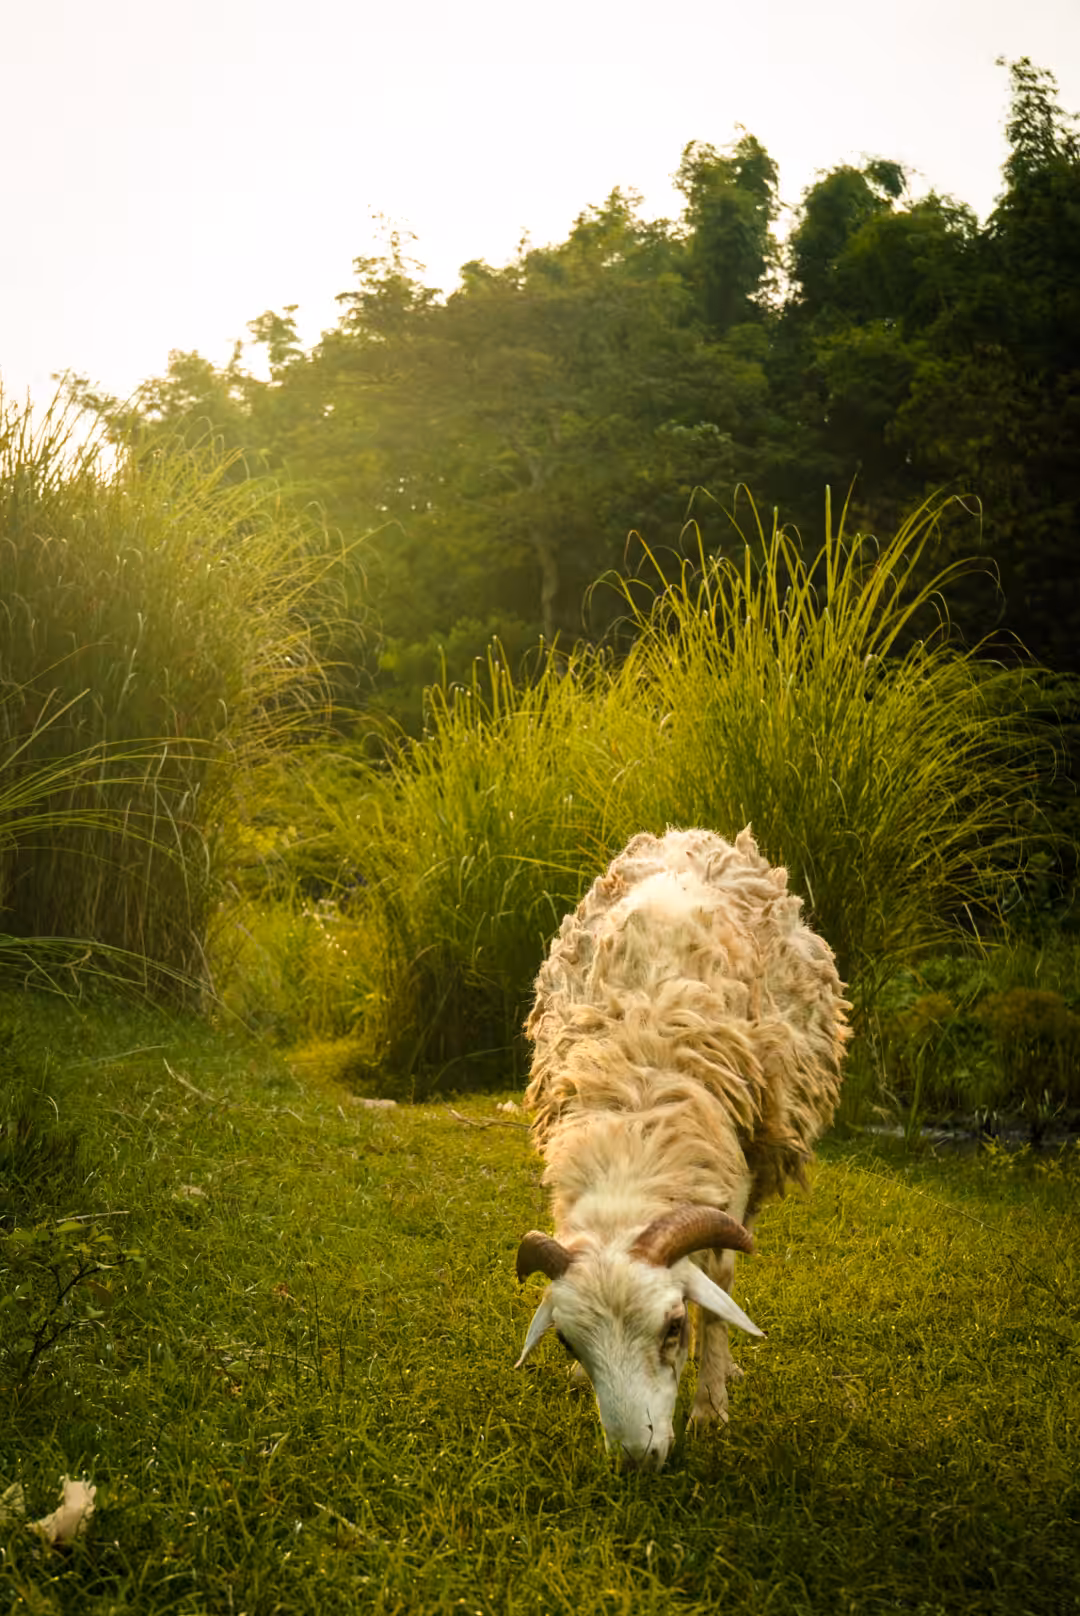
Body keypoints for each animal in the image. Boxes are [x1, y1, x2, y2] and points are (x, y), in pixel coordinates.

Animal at [514, 827, 849, 1470]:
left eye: (672, 1328)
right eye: (567, 1340)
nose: (636, 1459)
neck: (637, 1121)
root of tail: (691, 835)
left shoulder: (731, 1186)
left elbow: (718, 1289)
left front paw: (711, 1405)